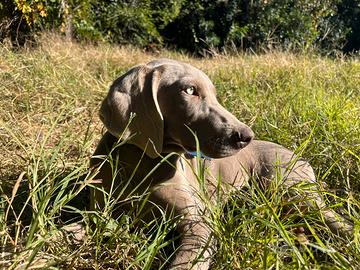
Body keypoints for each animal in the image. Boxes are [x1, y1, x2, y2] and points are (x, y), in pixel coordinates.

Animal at [91, 59, 352, 270]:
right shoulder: (98, 211)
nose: (246, 137)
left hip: (289, 187)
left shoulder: (199, 224)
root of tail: (299, 156)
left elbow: (186, 263)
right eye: (190, 90)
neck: (143, 162)